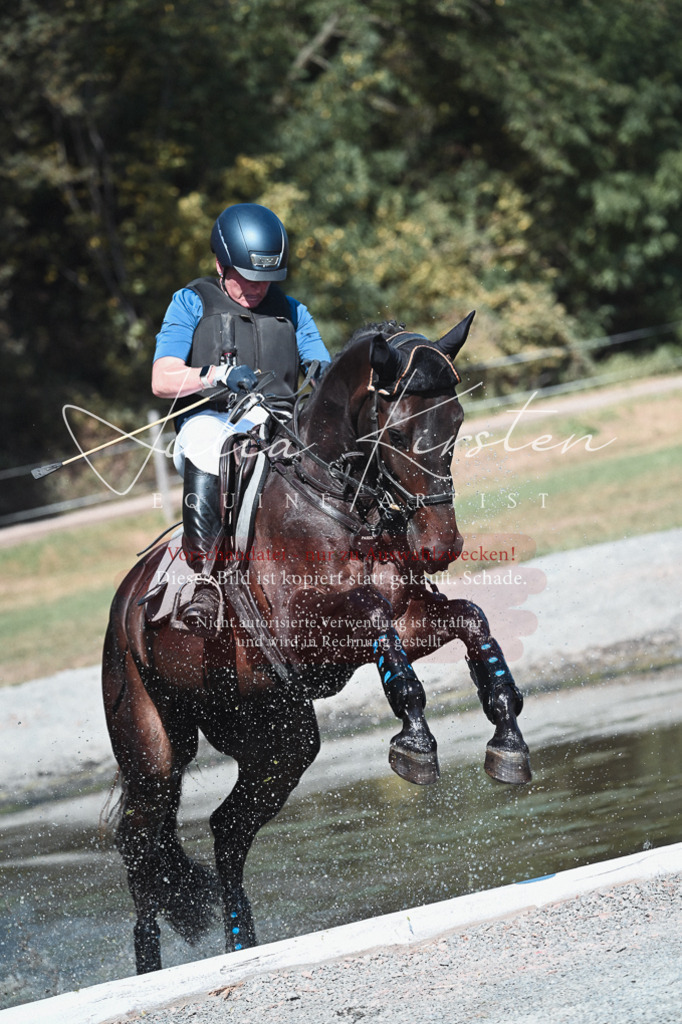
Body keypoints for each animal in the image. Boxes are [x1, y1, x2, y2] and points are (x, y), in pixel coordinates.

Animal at [102, 316, 532, 974]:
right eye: (396, 432)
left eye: (456, 424)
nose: (441, 547)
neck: (338, 501)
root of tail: (124, 602)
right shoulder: (310, 632)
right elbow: (379, 627)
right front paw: (415, 740)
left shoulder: (408, 620)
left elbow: (471, 620)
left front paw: (507, 735)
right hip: (152, 750)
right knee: (142, 846)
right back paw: (149, 968)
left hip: (279, 736)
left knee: (227, 830)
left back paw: (240, 944)